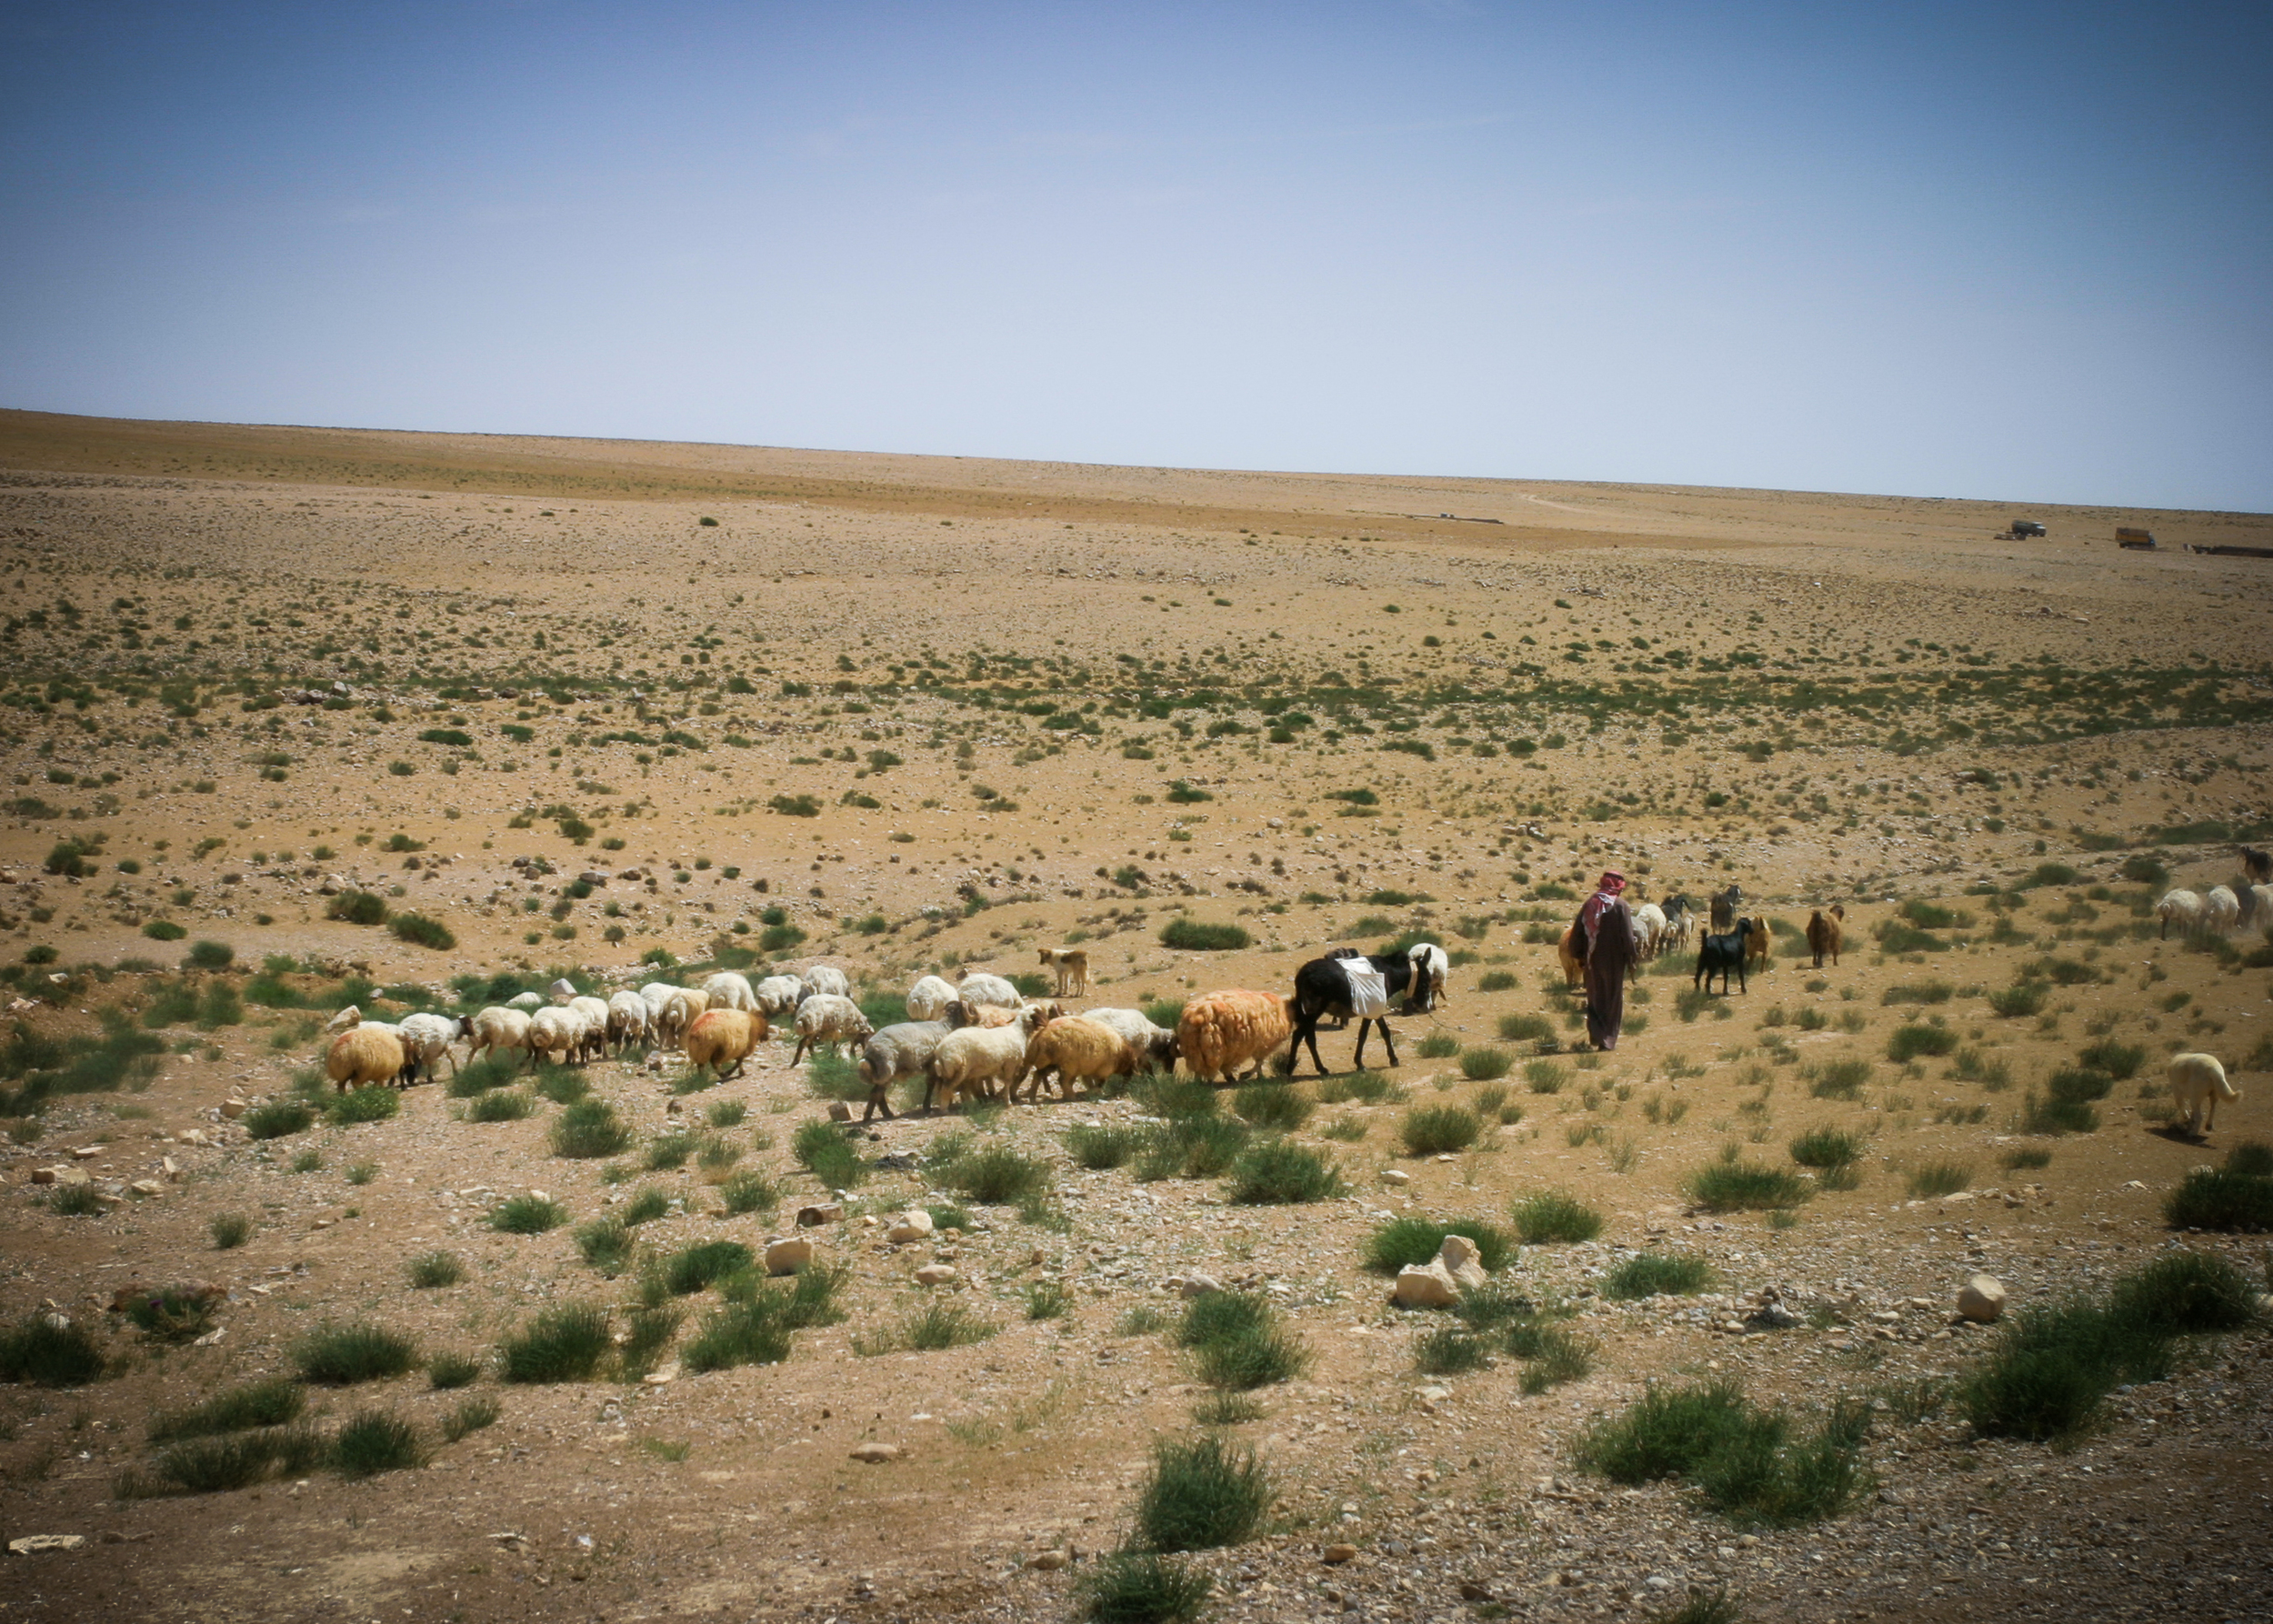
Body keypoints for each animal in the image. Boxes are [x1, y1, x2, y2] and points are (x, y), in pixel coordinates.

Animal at [1027, 1009, 1146, 1100]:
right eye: (1132, 1067)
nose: (1126, 1084)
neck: (1121, 1054)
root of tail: (1042, 1034)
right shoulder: (1103, 1069)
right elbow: (1099, 1083)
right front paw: (1094, 1093)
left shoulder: (1088, 1068)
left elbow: (1088, 1082)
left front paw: (1092, 1092)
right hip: (1067, 1064)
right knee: (1061, 1080)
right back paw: (1070, 1097)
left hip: (1051, 1061)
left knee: (1038, 1074)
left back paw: (1032, 1096)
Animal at [1173, 987, 1300, 1087]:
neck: (1287, 1009)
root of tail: (1195, 1017)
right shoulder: (1264, 1045)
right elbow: (1259, 1062)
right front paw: (1250, 1075)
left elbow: (1259, 1063)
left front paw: (1253, 1076)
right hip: (1217, 1048)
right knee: (1214, 1067)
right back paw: (1224, 1080)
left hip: (1195, 1050)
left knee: (1198, 1069)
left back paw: (1201, 1084)